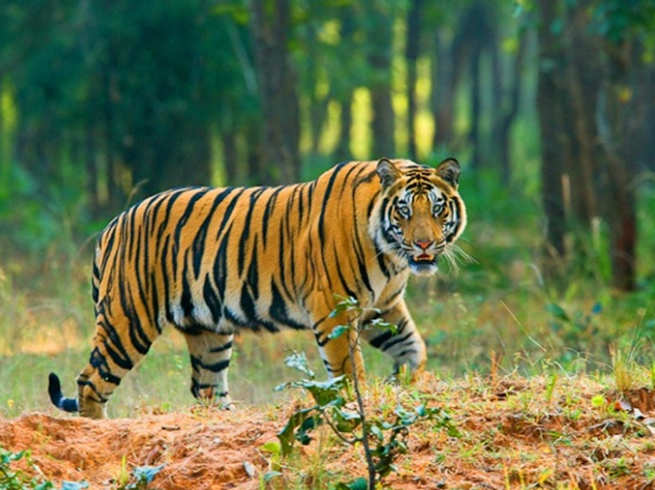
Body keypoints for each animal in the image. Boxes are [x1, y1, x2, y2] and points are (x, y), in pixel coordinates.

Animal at [47, 157, 467, 418]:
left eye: (437, 209)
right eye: (404, 210)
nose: (424, 245)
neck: (391, 255)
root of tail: (113, 225)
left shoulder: (382, 308)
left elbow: (414, 348)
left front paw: (404, 383)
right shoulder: (334, 309)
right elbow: (350, 372)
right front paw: (361, 406)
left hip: (208, 332)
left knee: (206, 388)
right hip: (128, 321)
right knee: (90, 383)